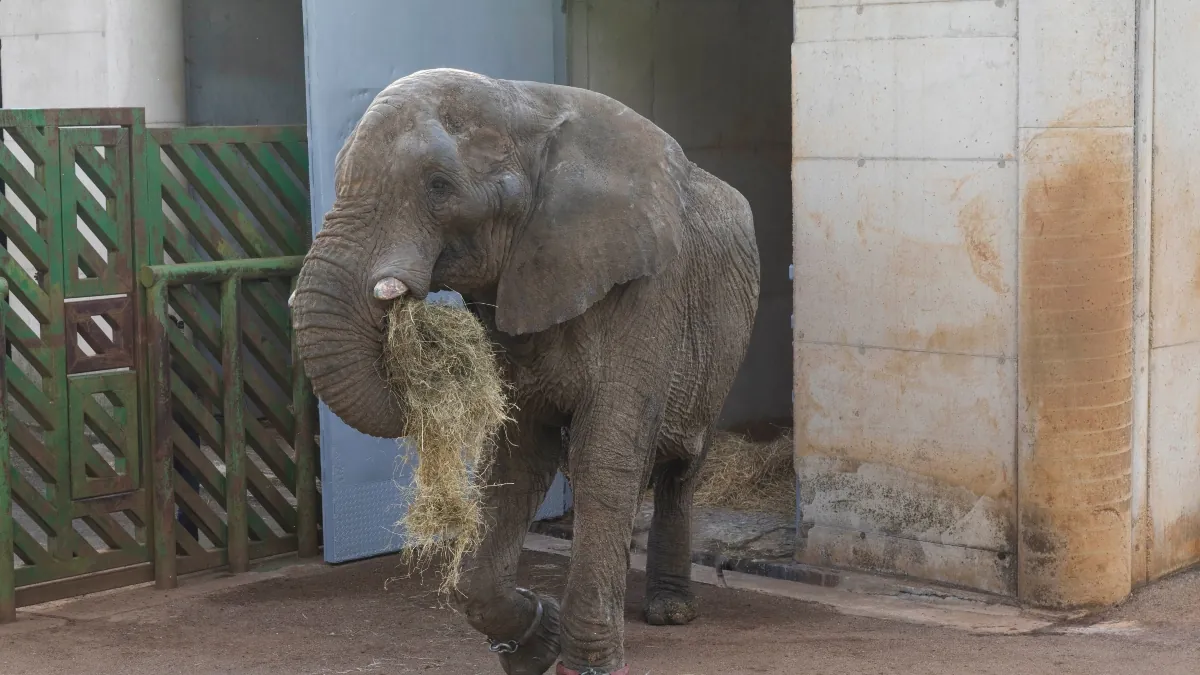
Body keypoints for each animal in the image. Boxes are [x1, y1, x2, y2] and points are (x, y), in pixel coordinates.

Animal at [290, 68, 761, 675]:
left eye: (439, 186)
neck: (525, 105)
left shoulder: (652, 289)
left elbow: (603, 455)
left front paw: (587, 664)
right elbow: (518, 453)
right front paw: (540, 642)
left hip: (723, 350)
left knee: (680, 468)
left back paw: (670, 612)